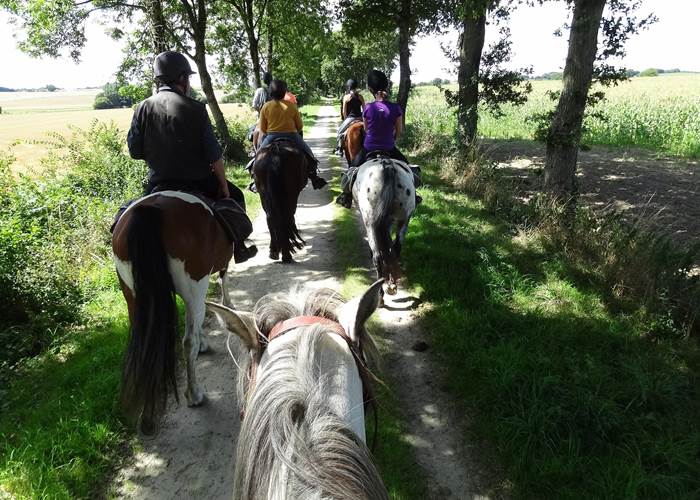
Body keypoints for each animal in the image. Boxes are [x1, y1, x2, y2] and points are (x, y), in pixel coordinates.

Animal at [111, 190, 235, 434]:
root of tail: (151, 209)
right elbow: (222, 281)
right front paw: (228, 308)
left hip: (133, 296)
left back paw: (146, 416)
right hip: (195, 284)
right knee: (187, 342)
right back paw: (194, 395)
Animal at [352, 157, 416, 304]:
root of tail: (387, 166)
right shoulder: (387, 221)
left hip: (370, 221)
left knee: (377, 256)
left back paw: (380, 296)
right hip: (404, 217)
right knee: (396, 248)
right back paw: (393, 286)